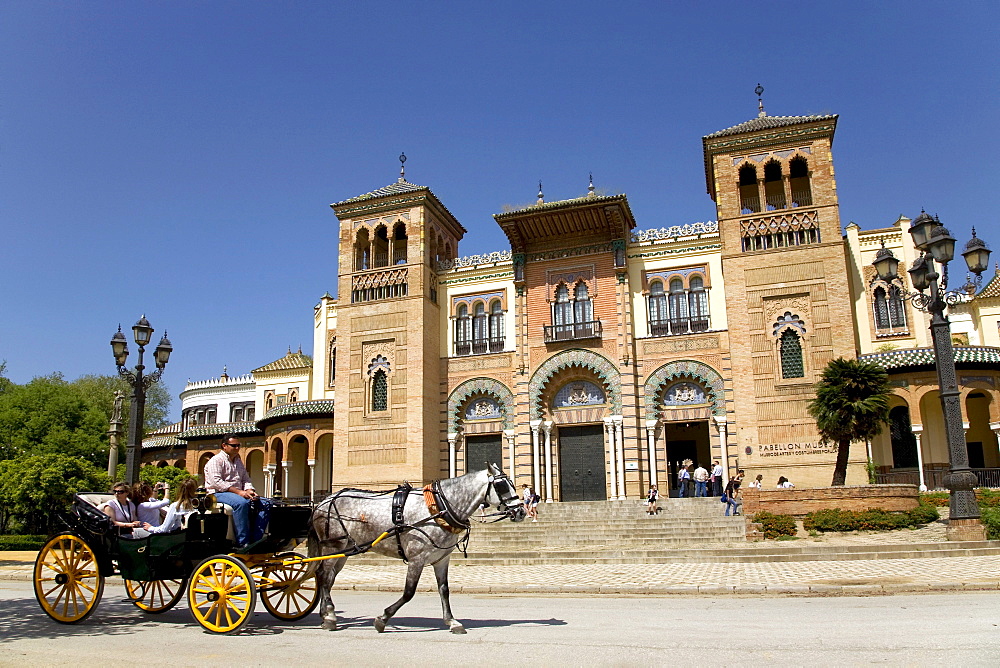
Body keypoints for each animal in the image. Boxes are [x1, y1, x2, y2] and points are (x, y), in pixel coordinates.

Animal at [306, 462, 528, 636]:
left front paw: (452, 621)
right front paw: (382, 618)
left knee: (327, 577)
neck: (440, 507)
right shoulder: (416, 558)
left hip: (345, 550)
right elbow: (408, 592)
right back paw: (330, 616)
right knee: (324, 576)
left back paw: (325, 614)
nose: (521, 511)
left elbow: (444, 590)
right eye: (502, 485)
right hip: (333, 546)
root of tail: (323, 502)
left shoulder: (442, 559)